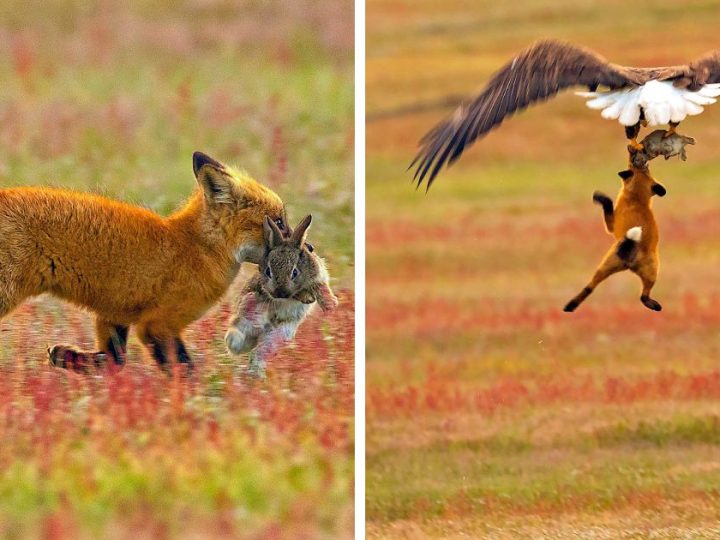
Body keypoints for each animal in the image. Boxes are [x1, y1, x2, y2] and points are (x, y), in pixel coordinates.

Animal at [225, 213, 338, 378]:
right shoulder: (265, 287)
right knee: (235, 338)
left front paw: (330, 305)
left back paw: (256, 374)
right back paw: (254, 314)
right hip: (243, 321)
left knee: (260, 353)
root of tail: (261, 333)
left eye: (295, 272)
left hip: (278, 335)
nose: (280, 292)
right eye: (268, 271)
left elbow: (321, 288)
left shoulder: (317, 276)